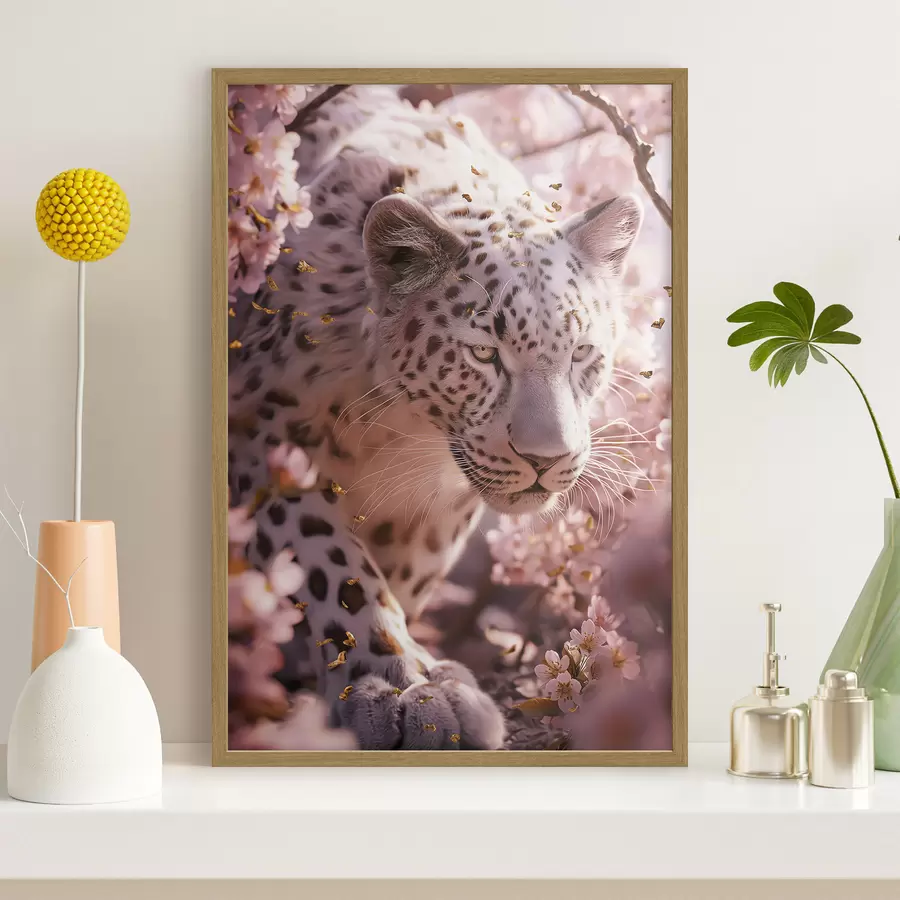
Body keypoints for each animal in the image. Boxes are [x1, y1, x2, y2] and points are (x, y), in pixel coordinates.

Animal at [228, 86, 643, 750]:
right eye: (485, 354)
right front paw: (397, 684)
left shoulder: (434, 511)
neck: (398, 426)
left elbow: (397, 571)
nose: (546, 459)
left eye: (581, 353)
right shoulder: (260, 439)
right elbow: (335, 566)